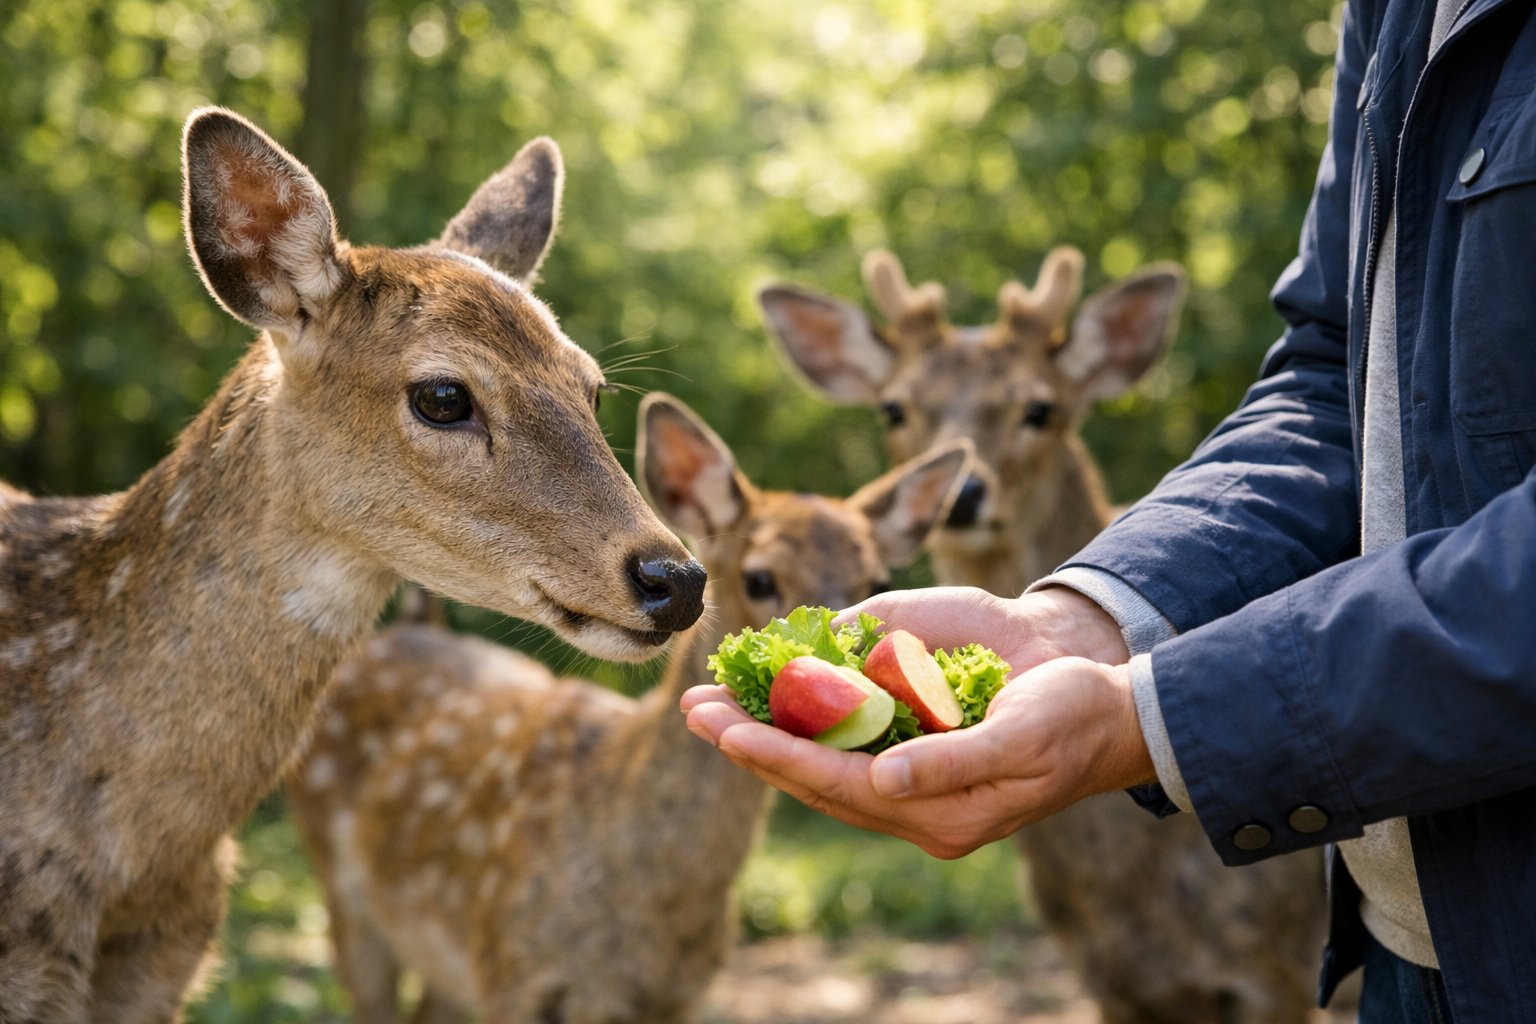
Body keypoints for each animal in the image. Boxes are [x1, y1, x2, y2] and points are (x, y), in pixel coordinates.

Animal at [286, 392, 972, 1024]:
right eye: (759, 578)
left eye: (876, 580)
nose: (840, 642)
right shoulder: (509, 970)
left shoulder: (677, 997)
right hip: (345, 895)